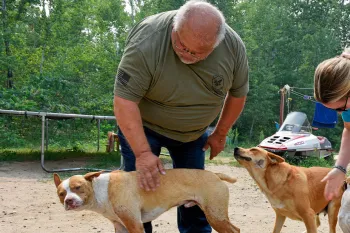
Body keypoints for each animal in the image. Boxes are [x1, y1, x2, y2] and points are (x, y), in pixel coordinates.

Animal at [54, 168, 241, 232]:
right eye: (61, 193)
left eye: (78, 187)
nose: (68, 201)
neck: (101, 189)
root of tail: (215, 174)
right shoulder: (120, 226)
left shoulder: (134, 225)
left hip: (215, 216)